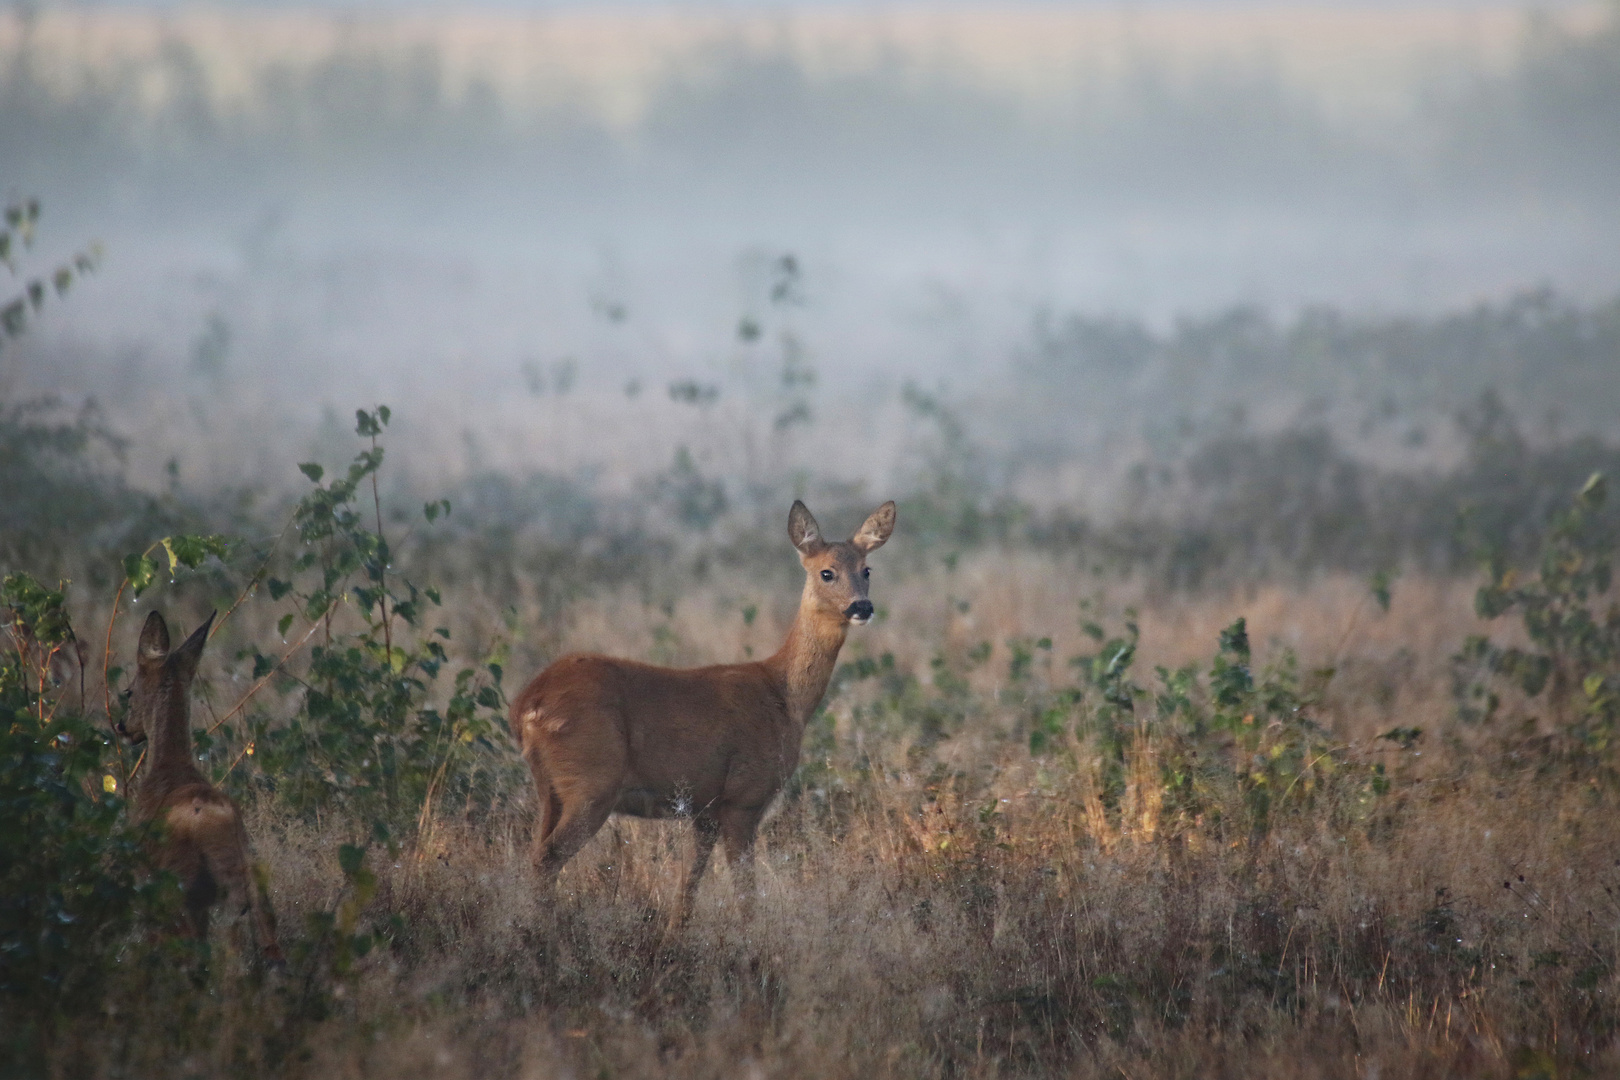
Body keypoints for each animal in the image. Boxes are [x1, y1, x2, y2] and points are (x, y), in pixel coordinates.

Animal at [118, 612, 285, 965]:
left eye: (128, 691)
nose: (122, 727)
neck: (168, 766)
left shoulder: (145, 877)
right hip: (253, 881)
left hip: (180, 885)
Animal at [515, 495, 900, 913]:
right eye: (826, 572)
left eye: (867, 569)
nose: (862, 607)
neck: (783, 695)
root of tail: (528, 702)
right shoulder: (743, 798)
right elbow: (745, 894)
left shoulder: (704, 810)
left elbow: (686, 891)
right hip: (592, 780)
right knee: (547, 859)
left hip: (551, 788)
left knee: (536, 855)